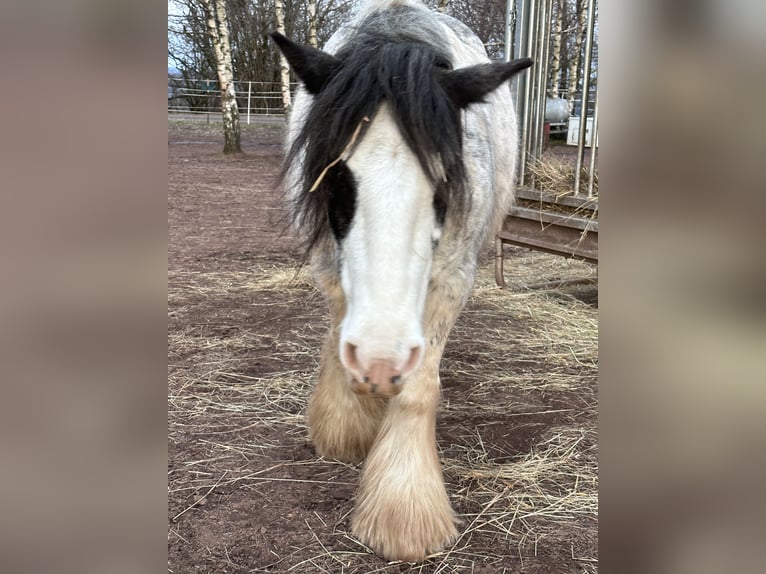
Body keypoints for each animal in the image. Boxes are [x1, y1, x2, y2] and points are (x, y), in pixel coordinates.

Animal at [272, 0, 532, 564]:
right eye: (336, 176)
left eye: (444, 182)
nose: (379, 359)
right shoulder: (330, 265)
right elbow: (338, 331)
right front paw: (347, 423)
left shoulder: (452, 276)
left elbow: (417, 388)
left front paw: (402, 511)